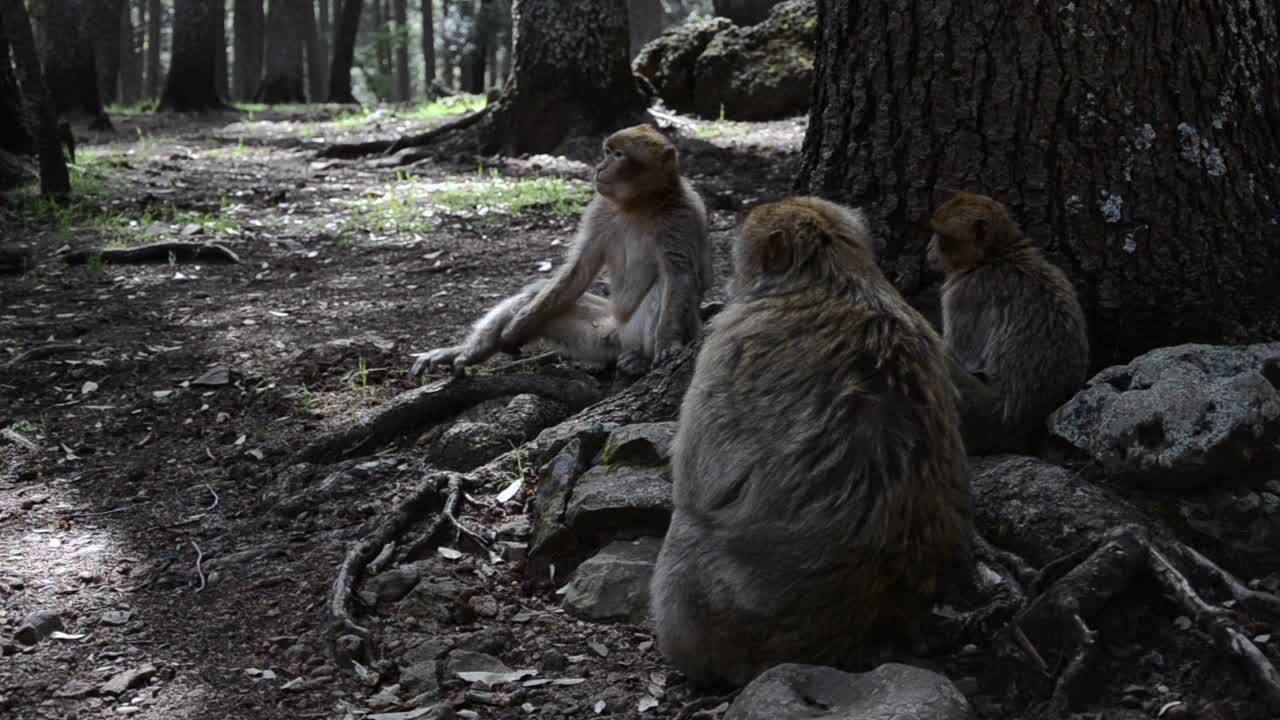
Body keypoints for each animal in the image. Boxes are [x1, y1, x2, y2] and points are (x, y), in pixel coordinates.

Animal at [412, 125, 711, 378]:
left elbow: (679, 275)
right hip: (601, 335)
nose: (600, 167)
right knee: (538, 294)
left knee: (665, 285)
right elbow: (578, 270)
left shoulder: (681, 215)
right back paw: (472, 351)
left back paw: (640, 359)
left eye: (619, 155)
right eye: (608, 152)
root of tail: (621, 337)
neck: (638, 204)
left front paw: (668, 342)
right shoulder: (600, 209)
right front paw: (516, 328)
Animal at [648, 196, 974, 689]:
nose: (729, 281)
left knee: (688, 530)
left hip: (726, 615)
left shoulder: (729, 345)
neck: (834, 280)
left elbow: (699, 478)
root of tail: (867, 625)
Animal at [927, 191, 1090, 454]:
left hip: (978, 415)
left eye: (940, 236)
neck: (997, 255)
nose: (928, 248)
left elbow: (959, 354)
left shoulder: (963, 293)